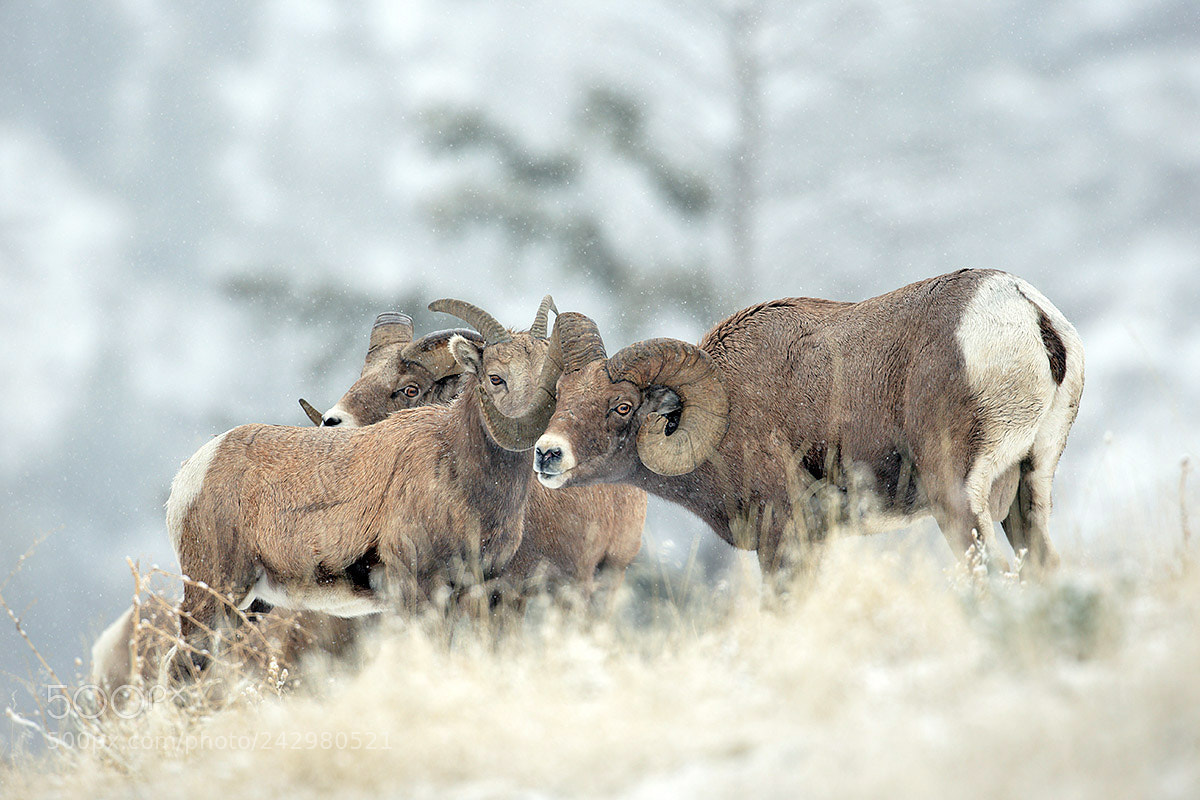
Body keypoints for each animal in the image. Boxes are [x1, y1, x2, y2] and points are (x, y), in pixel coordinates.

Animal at [532, 270, 1084, 583]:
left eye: (623, 406)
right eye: (562, 395)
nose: (547, 453)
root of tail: (1028, 313)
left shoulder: (784, 537)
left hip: (956, 495)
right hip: (1027, 491)